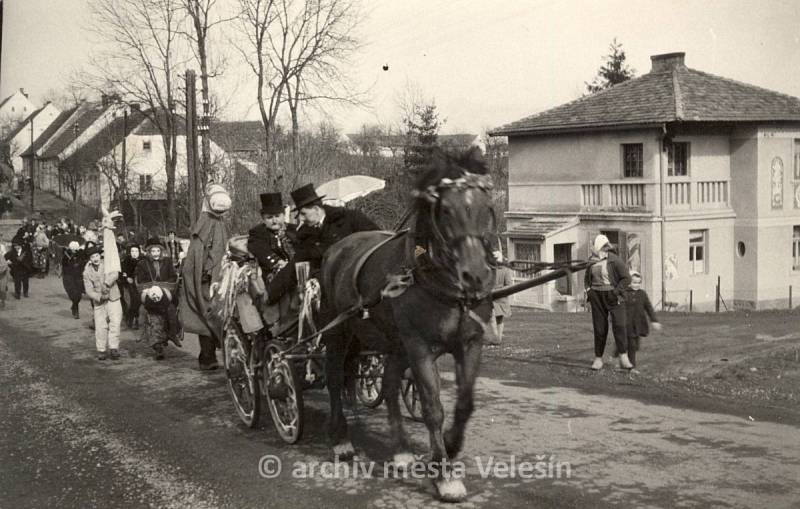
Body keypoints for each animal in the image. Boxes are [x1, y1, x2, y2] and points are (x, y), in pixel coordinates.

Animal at [318, 147, 494, 500]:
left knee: (387, 383)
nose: (476, 275)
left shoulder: (470, 343)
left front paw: (450, 447)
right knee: (334, 378)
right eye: (446, 210)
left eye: (485, 207)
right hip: (339, 331)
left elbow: (465, 404)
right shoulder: (420, 347)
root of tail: (337, 248)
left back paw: (400, 451)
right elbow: (432, 408)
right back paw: (341, 441)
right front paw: (444, 475)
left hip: (394, 343)